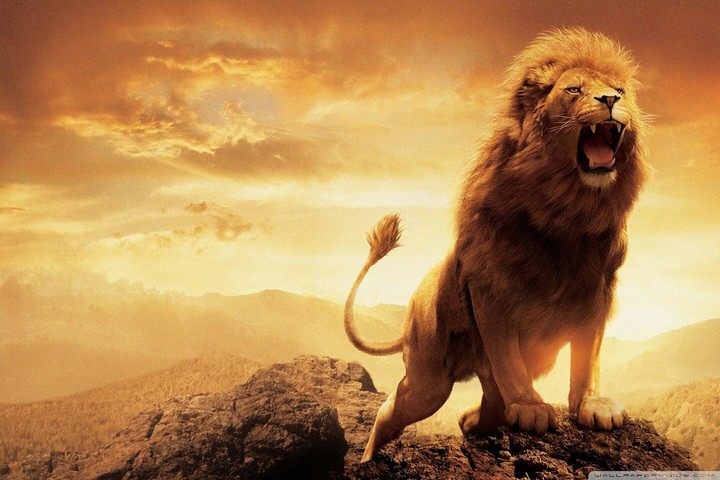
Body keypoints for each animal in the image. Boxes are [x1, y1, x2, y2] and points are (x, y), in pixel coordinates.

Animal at [344, 28, 649, 462]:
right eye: (574, 90)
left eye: (620, 90)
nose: (609, 101)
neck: (566, 210)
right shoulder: (491, 288)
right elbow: (508, 359)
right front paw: (530, 407)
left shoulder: (597, 289)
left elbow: (587, 355)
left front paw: (592, 404)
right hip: (428, 378)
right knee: (394, 407)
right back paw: (368, 458)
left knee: (487, 401)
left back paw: (472, 421)